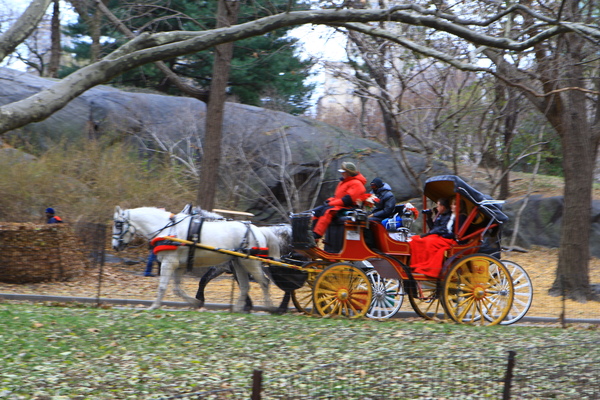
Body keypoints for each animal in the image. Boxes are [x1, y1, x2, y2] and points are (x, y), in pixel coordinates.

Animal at [111, 206, 276, 312]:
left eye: (118, 224)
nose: (114, 246)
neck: (168, 230)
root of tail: (258, 230)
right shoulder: (179, 266)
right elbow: (177, 289)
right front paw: (196, 302)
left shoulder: (169, 263)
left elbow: (163, 286)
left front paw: (154, 306)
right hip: (239, 263)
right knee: (245, 286)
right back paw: (238, 308)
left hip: (250, 262)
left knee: (264, 282)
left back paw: (269, 307)